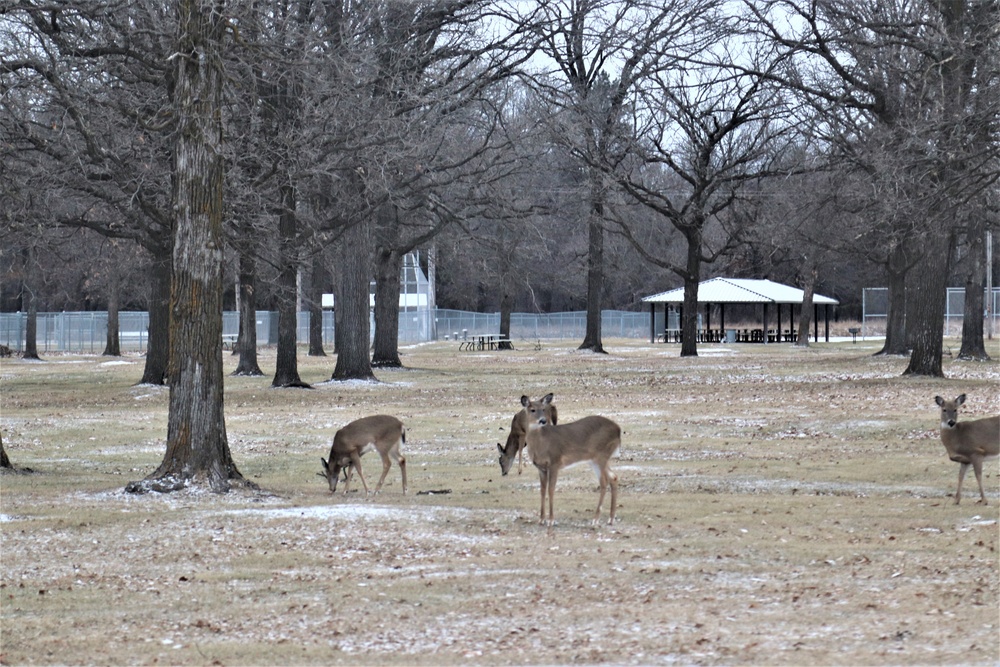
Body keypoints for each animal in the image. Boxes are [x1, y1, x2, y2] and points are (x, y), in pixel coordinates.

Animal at [520, 392, 620, 528]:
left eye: (543, 409)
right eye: (532, 409)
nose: (543, 420)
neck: (541, 444)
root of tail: (619, 430)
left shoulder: (555, 462)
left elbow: (551, 490)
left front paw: (551, 520)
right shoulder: (541, 468)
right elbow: (542, 490)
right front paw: (541, 520)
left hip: (601, 456)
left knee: (604, 482)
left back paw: (595, 519)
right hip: (595, 459)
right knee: (613, 477)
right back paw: (610, 519)